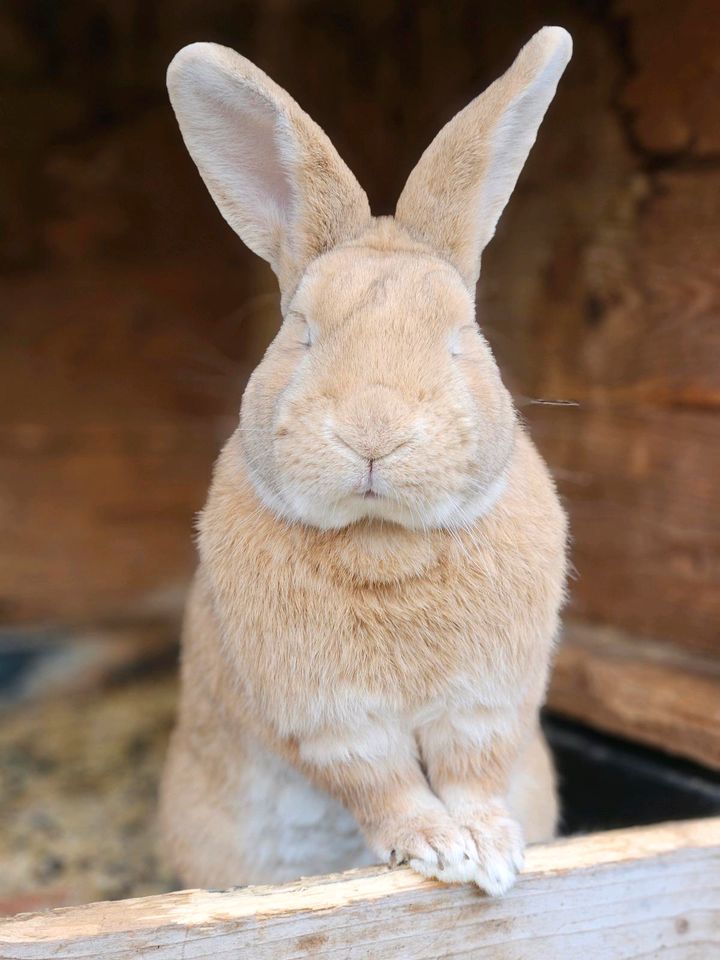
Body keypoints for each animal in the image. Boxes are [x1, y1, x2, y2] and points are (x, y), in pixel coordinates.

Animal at [160, 26, 572, 896]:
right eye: (303, 333)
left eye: (460, 336)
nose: (373, 434)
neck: (384, 540)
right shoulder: (327, 717)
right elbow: (382, 783)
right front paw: (439, 849)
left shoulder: (486, 702)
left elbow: (473, 771)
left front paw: (492, 851)